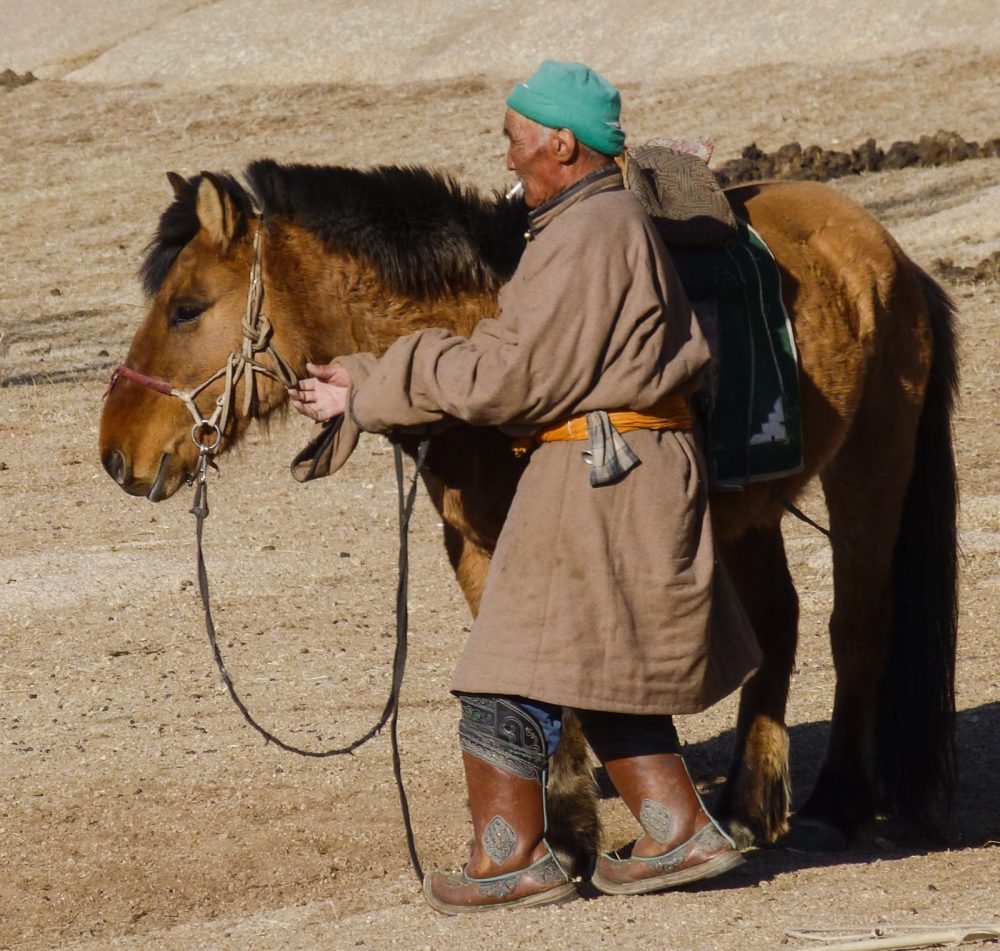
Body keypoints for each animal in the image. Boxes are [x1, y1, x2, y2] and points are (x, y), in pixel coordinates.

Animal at [97, 160, 956, 860]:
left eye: (186, 308)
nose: (115, 454)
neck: (482, 333)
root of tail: (885, 250)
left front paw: (571, 831)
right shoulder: (476, 546)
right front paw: (557, 824)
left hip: (870, 469)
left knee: (857, 628)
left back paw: (834, 805)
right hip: (753, 504)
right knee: (778, 620)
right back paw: (750, 807)